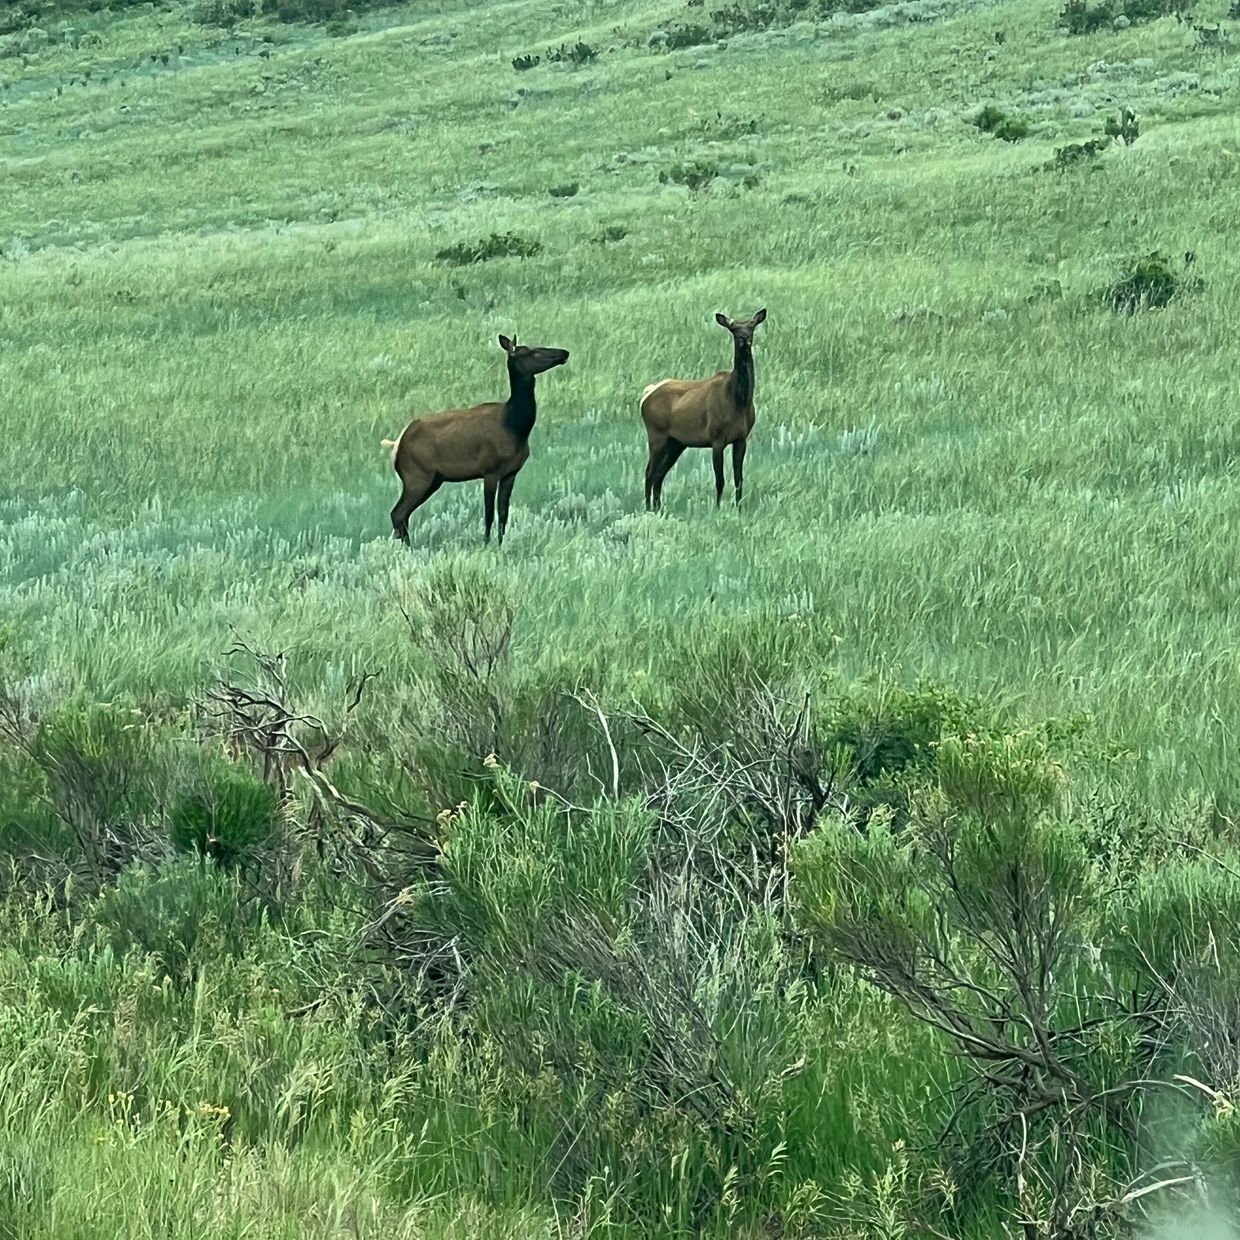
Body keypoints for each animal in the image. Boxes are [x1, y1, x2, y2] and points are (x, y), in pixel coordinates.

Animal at [381, 334, 569, 546]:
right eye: (531, 351)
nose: (564, 353)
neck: (515, 427)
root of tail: (396, 446)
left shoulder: (511, 473)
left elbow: (503, 514)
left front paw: (500, 543)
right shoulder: (490, 470)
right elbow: (489, 514)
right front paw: (486, 543)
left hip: (433, 479)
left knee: (403, 515)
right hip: (416, 475)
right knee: (398, 513)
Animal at [639, 308, 767, 512]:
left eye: (751, 327)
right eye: (733, 329)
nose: (744, 340)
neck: (739, 402)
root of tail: (646, 394)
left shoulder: (741, 438)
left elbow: (738, 479)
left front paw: (739, 509)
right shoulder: (716, 437)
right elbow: (720, 480)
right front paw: (717, 508)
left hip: (676, 442)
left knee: (658, 475)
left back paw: (658, 508)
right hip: (656, 433)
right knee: (649, 473)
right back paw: (649, 508)